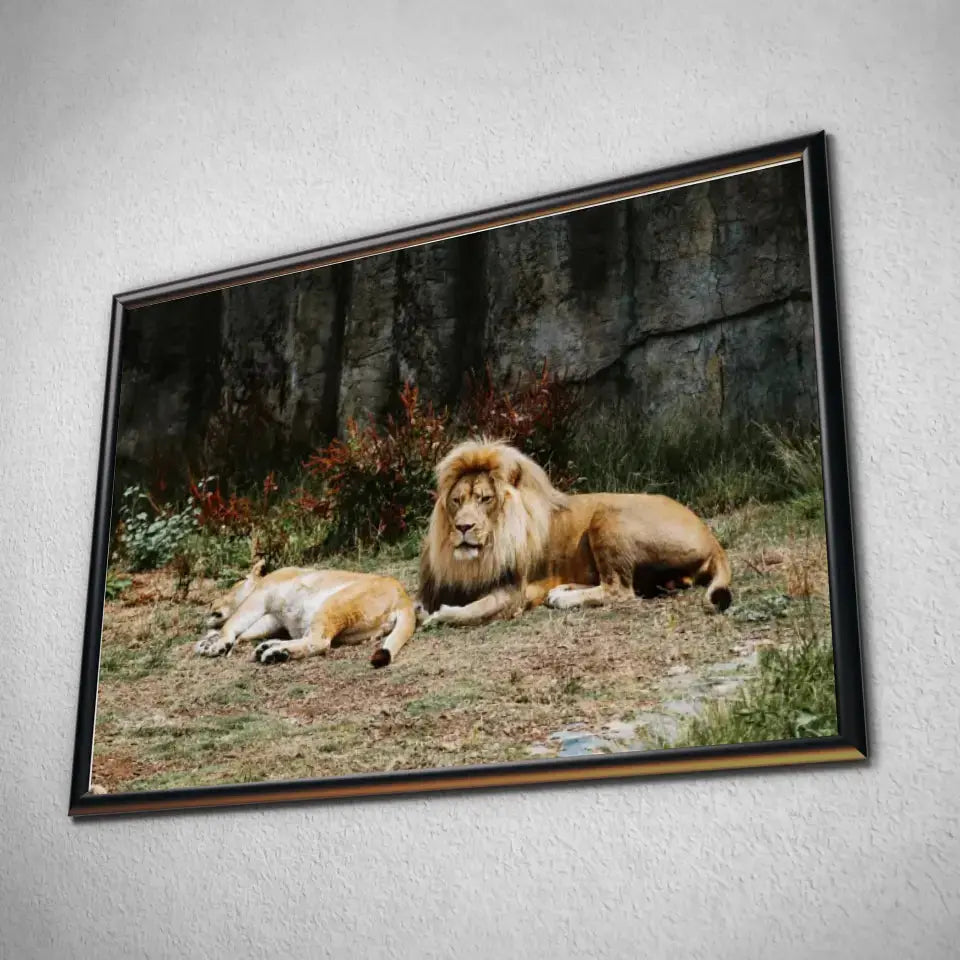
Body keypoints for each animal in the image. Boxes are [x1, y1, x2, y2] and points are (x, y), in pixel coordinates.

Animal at [195, 559, 416, 667]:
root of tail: (404, 597)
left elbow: (232, 623)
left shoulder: (259, 597)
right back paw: (271, 648)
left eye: (233, 585)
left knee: (319, 642)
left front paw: (217, 645)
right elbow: (244, 631)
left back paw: (275, 653)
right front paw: (208, 641)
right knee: (311, 638)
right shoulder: (273, 618)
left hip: (332, 604)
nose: (211, 604)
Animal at [418, 440, 732, 627]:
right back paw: (563, 590)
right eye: (456, 501)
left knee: (619, 589)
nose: (463, 527)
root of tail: (712, 538)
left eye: (485, 499)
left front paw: (438, 616)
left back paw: (564, 598)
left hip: (607, 515)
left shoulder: (515, 591)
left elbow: (475, 609)